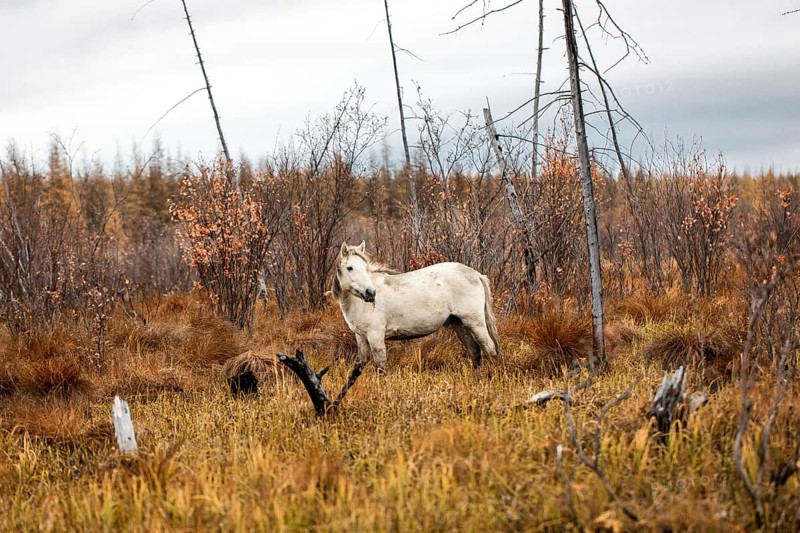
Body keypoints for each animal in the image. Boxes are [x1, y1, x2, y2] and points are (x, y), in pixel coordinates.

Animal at [331, 241, 500, 371]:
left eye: (366, 268)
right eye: (350, 268)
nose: (370, 293)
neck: (358, 303)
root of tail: (476, 274)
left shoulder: (375, 336)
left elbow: (380, 366)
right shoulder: (361, 337)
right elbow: (361, 364)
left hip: (475, 323)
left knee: (489, 348)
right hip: (459, 323)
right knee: (474, 350)